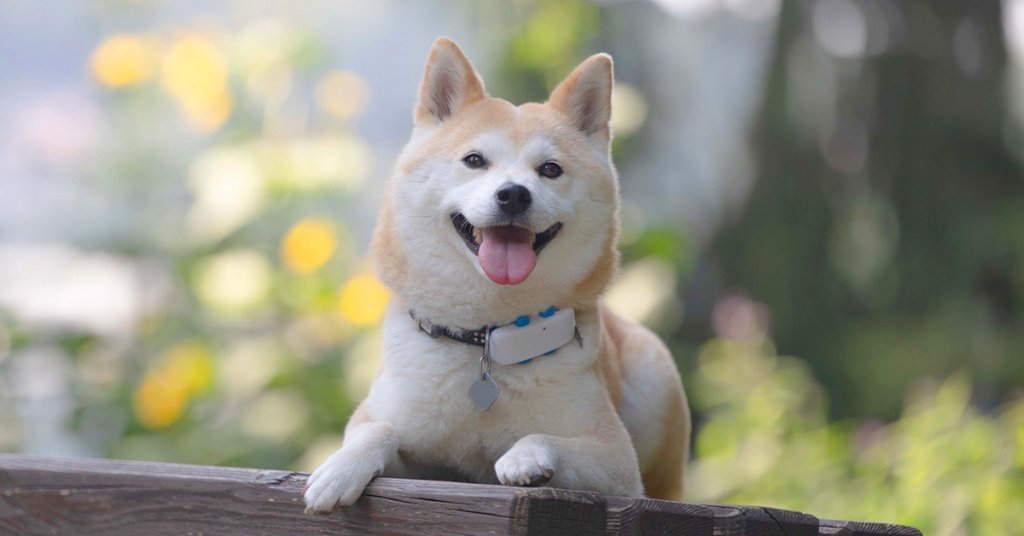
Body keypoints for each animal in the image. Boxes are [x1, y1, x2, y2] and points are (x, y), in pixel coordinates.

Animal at [299, 37, 692, 516]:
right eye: (474, 160)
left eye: (550, 169)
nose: (513, 194)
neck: (485, 337)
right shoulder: (407, 443)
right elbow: (379, 430)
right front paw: (340, 469)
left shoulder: (617, 463)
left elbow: (544, 437)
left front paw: (527, 458)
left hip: (656, 378)